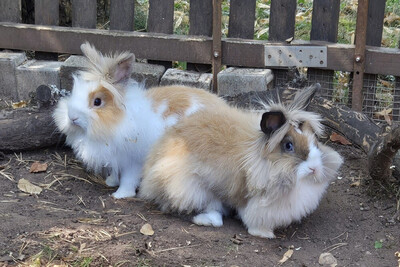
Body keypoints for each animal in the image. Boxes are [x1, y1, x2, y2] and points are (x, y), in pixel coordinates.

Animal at [54, 42, 225, 199]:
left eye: (97, 102)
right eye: (75, 91)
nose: (72, 117)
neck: (120, 119)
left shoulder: (133, 160)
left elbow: (128, 179)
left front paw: (121, 194)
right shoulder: (115, 156)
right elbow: (115, 171)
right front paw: (111, 182)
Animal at [139, 85, 342, 240]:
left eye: (314, 140)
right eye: (288, 145)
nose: (314, 168)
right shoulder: (256, 202)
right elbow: (253, 217)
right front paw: (264, 233)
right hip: (187, 187)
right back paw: (210, 219)